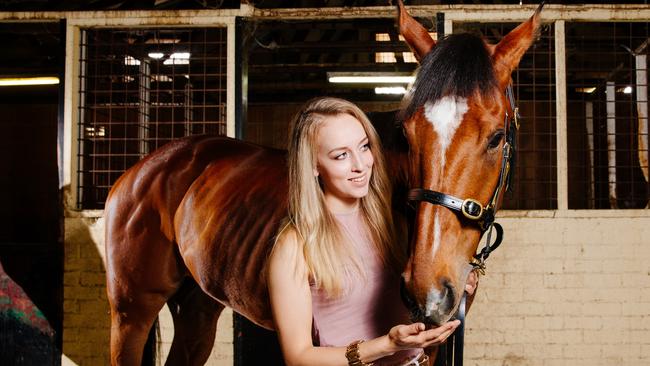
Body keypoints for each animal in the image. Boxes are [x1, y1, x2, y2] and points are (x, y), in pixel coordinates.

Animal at [105, 1, 540, 364]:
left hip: (197, 308)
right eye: (407, 134)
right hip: (131, 312)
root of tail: (145, 168)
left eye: (496, 138)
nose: (427, 293)